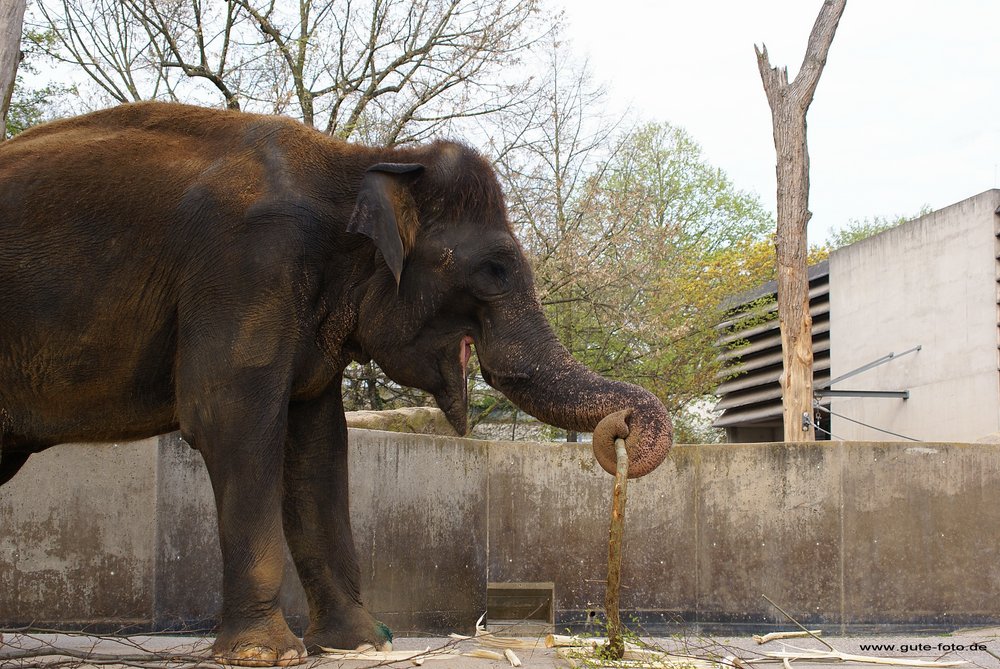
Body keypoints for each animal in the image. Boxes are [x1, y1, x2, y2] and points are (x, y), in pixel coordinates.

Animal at [0, 102, 672, 665]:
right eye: (494, 270)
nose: (622, 427)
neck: (360, 160)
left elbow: (318, 449)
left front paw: (361, 643)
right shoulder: (247, 269)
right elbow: (231, 422)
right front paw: (265, 655)